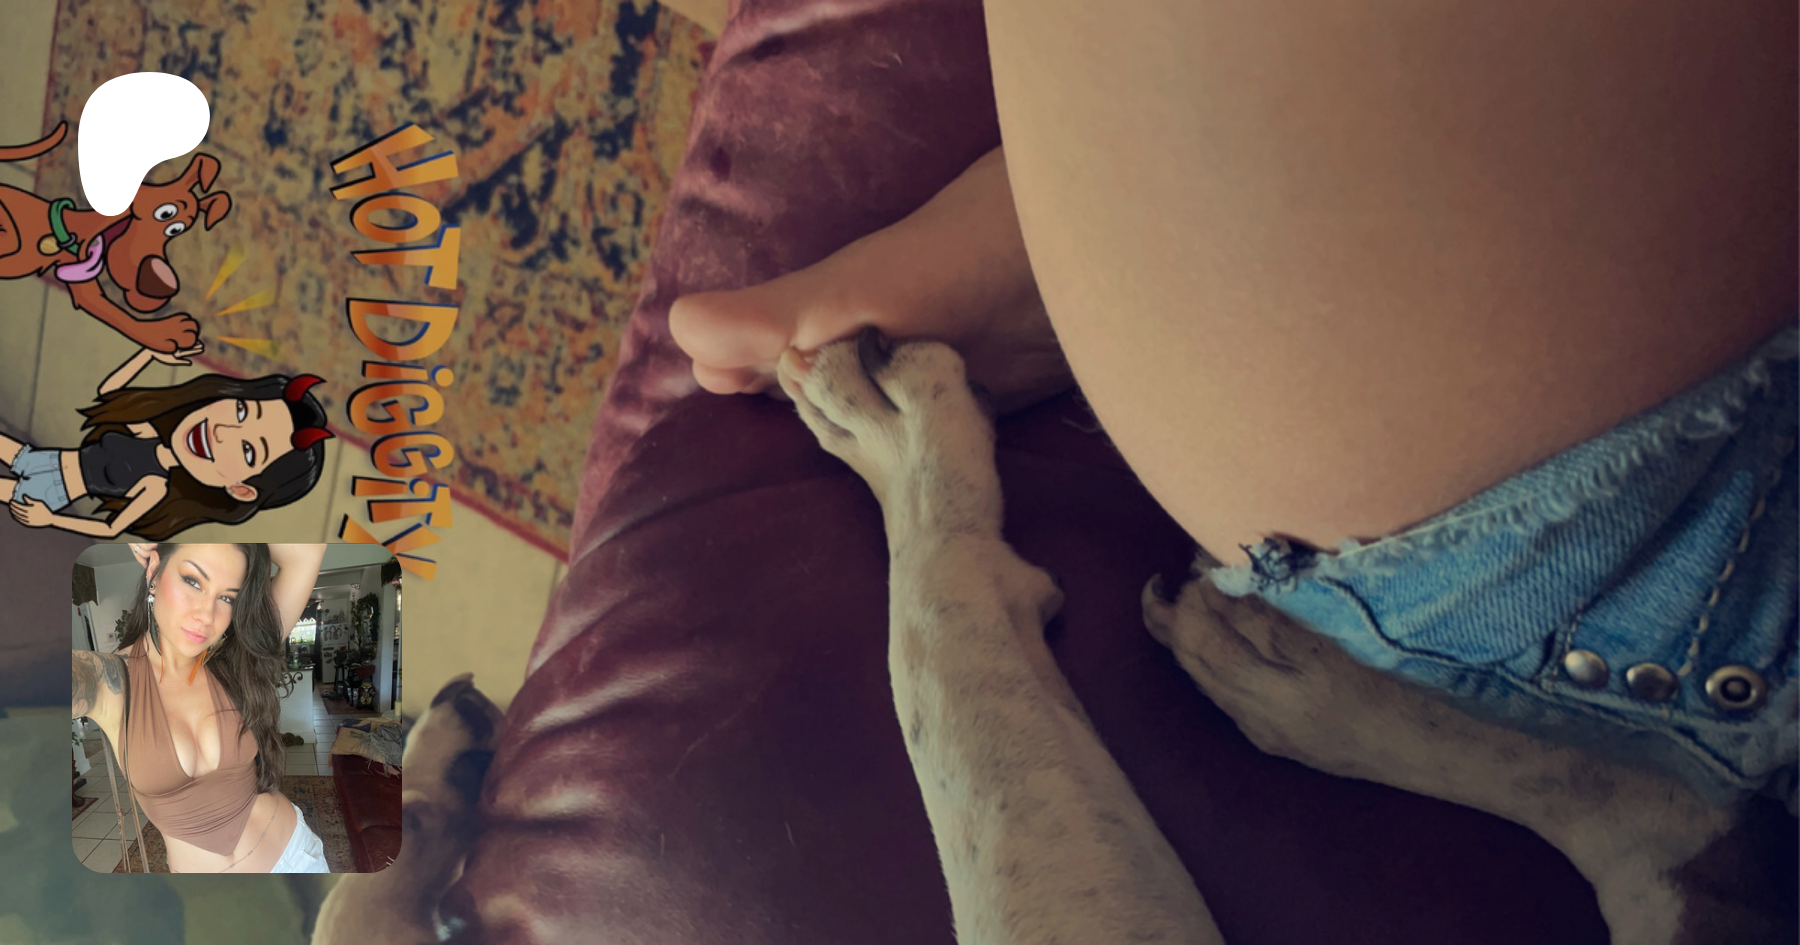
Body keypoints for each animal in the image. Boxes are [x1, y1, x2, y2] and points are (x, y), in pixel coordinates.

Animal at [0, 122, 226, 353]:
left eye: (177, 230)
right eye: (165, 214)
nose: (167, 284)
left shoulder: (86, 287)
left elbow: (119, 316)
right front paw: (168, 331)